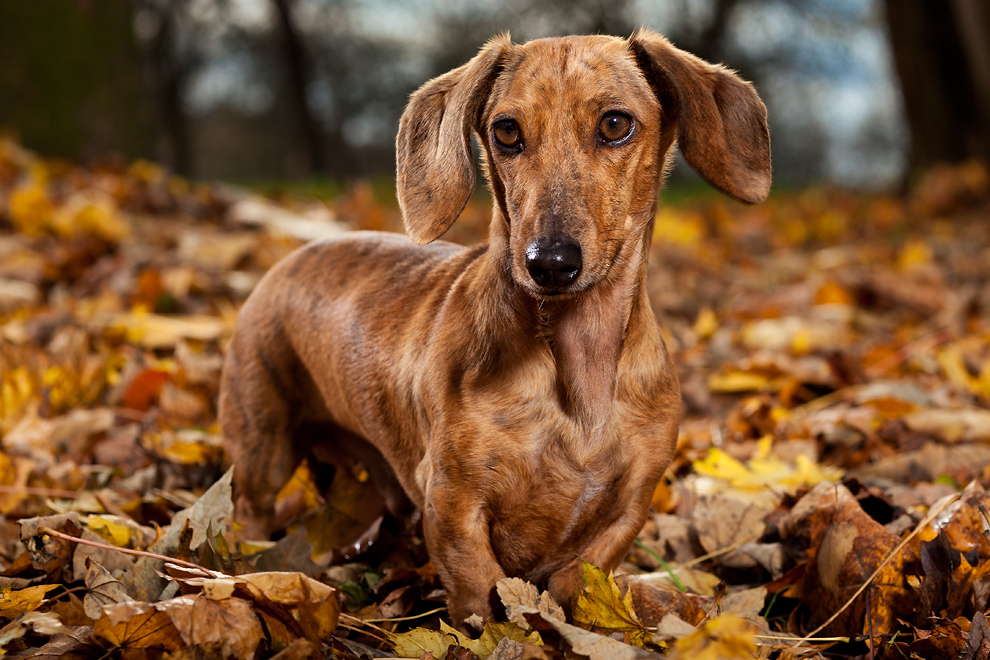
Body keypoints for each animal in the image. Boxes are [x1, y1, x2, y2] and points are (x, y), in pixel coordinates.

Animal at [221, 28, 772, 628]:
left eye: (615, 124)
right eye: (506, 131)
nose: (549, 262)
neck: (578, 364)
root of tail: (284, 261)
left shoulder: (628, 508)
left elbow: (575, 581)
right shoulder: (453, 503)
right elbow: (482, 595)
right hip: (265, 452)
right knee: (249, 509)